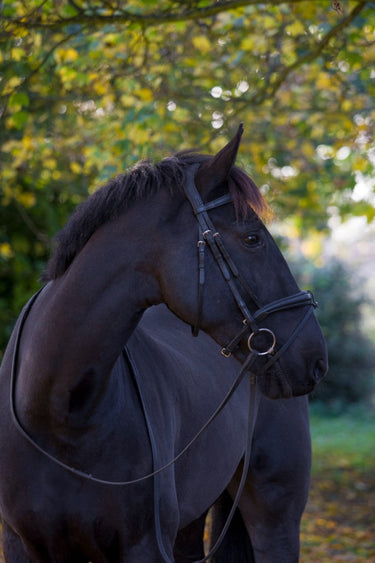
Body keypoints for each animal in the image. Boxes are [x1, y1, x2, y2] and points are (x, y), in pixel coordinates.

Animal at [0, 125, 326, 560]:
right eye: (252, 238)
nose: (315, 357)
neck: (58, 411)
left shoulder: (145, 546)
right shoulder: (20, 543)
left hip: (276, 518)